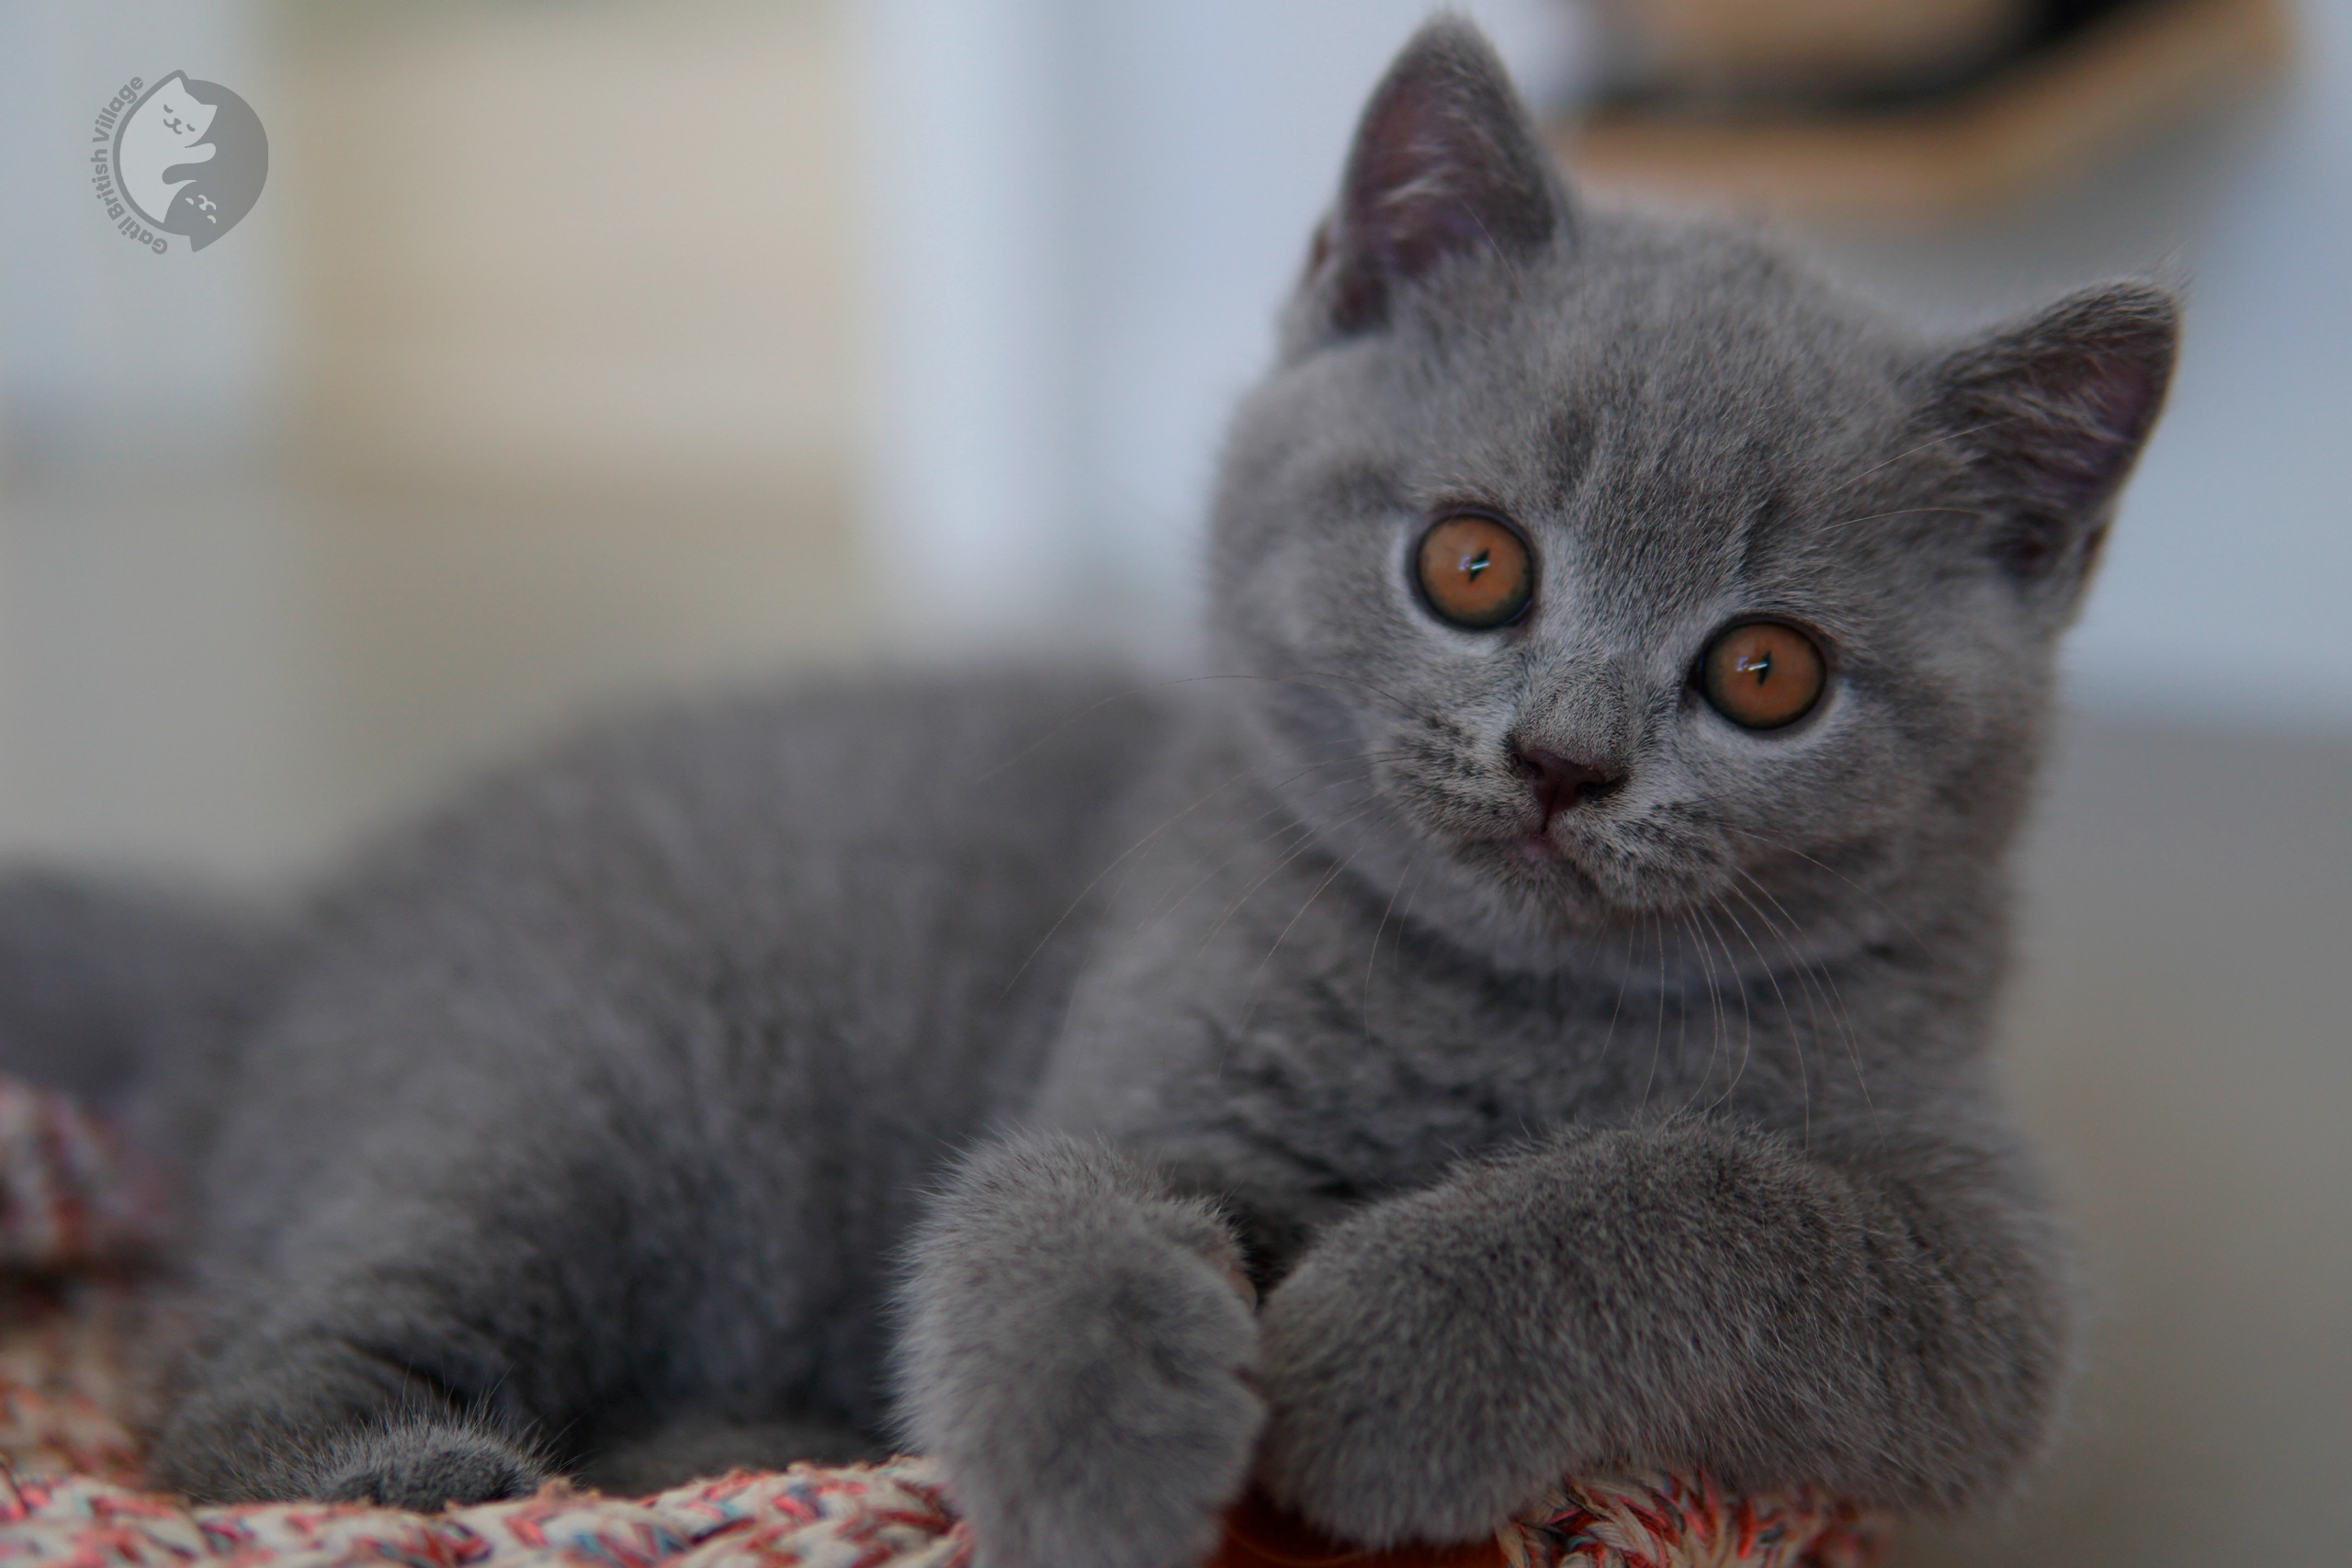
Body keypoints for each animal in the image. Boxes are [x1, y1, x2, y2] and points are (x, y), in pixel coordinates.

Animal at [0, 21, 2173, 1568]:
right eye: (1472, 565)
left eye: (1763, 673)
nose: (1563, 757)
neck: (1503, 1015)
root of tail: (296, 934)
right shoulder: (1147, 1060)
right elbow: (1041, 1204)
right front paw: (1106, 1456)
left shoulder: (1981, 1289)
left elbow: (1699, 1198)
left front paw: (1387, 1365)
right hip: (561, 1079)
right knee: (226, 1398)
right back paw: (441, 1480)